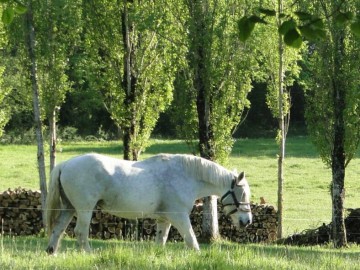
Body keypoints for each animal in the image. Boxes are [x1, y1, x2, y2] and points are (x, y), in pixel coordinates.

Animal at [45, 154, 252, 253]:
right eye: (242, 193)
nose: (247, 221)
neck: (185, 175)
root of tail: (65, 164)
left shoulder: (165, 220)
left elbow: (161, 241)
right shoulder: (180, 217)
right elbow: (192, 240)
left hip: (69, 208)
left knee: (58, 229)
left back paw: (51, 251)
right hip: (84, 209)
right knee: (80, 232)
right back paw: (88, 252)